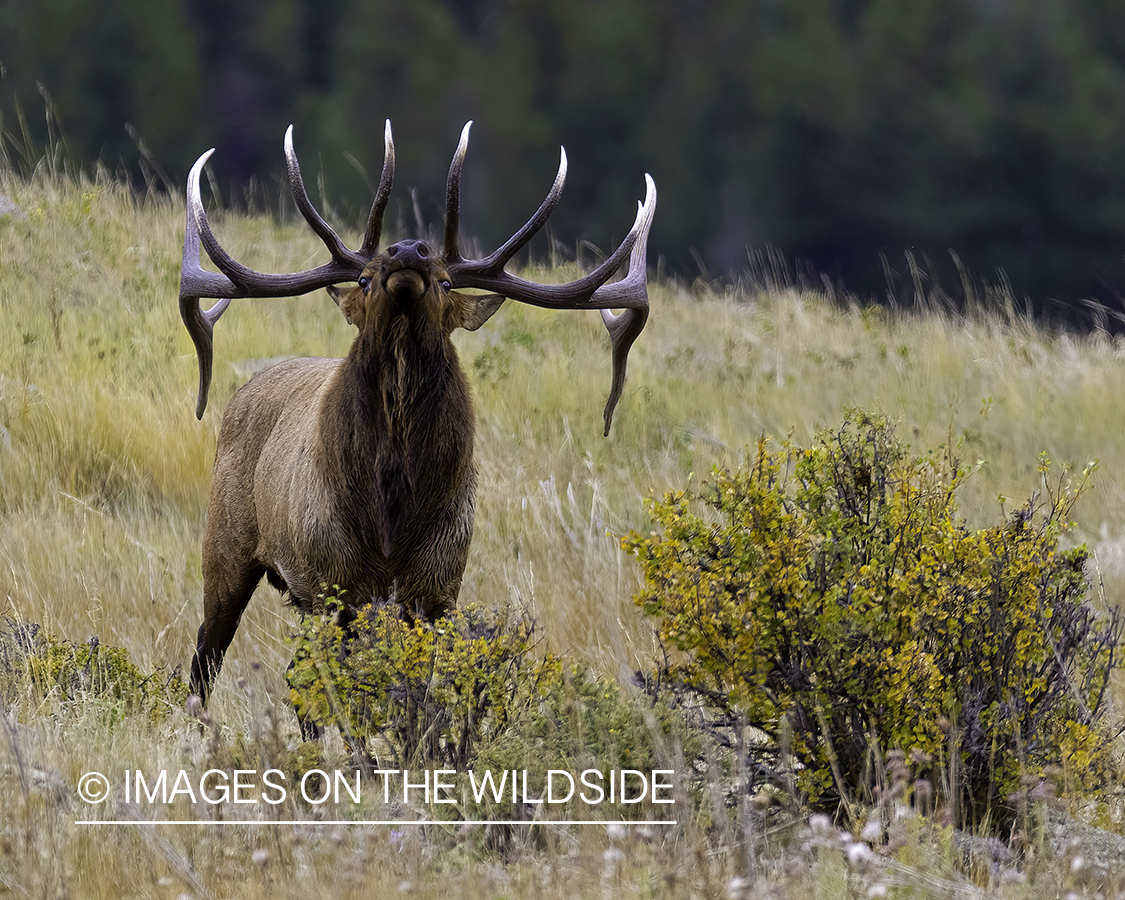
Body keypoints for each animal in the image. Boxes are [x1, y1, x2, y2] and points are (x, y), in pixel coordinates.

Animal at [178, 121, 657, 702]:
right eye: (363, 280)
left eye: (448, 282)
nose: (408, 248)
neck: (391, 511)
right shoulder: (330, 582)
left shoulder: (438, 586)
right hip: (227, 547)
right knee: (209, 658)